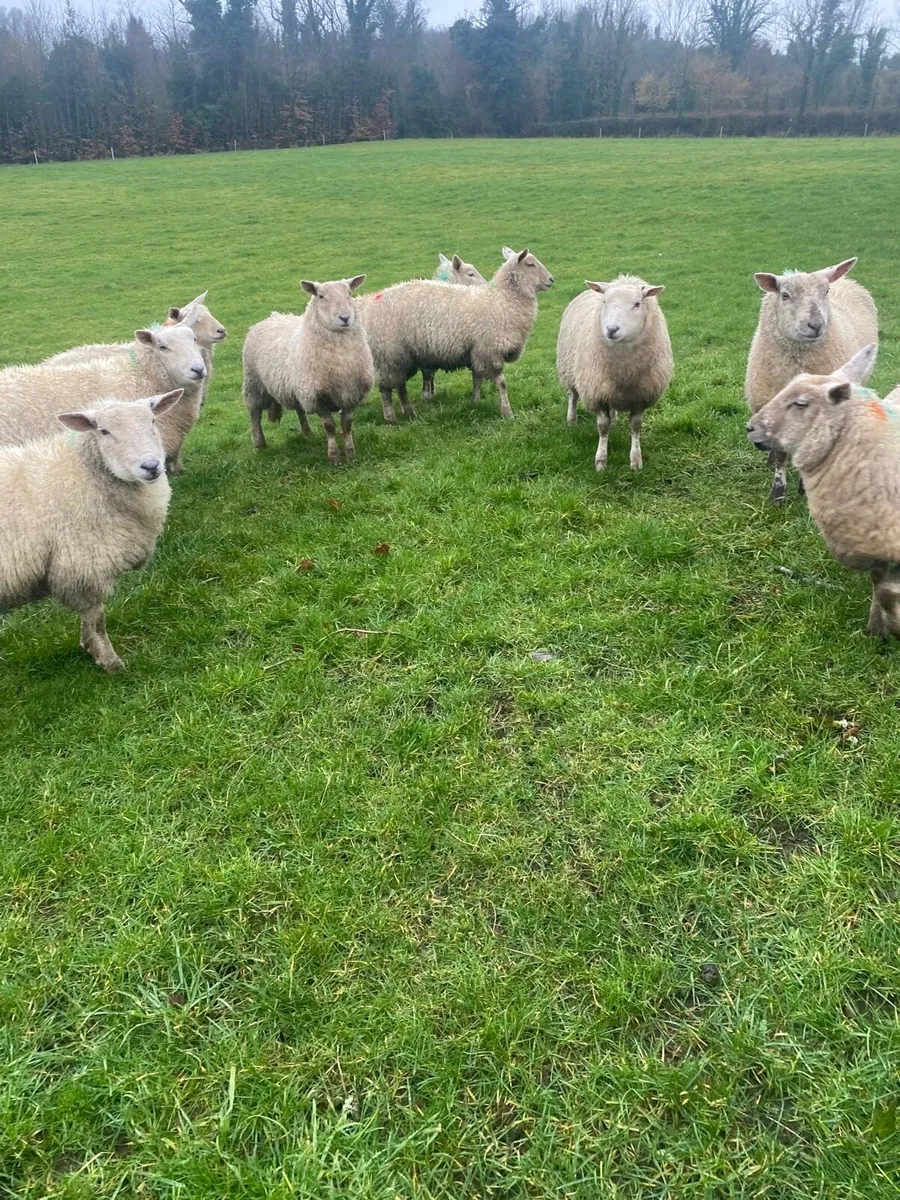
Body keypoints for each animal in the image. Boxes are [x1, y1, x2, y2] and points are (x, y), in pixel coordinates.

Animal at [0, 390, 183, 671]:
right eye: (104, 431)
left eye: (152, 421)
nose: (151, 466)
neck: (86, 474)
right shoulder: (83, 565)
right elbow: (96, 619)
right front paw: (109, 661)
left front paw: (88, 647)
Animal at [242, 275, 372, 465]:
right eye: (320, 296)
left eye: (349, 292)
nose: (345, 317)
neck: (341, 360)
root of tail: (271, 317)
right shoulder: (317, 398)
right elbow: (330, 427)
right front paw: (334, 457)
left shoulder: (351, 395)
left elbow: (347, 425)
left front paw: (350, 454)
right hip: (253, 383)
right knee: (254, 413)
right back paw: (259, 443)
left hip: (297, 388)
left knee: (299, 409)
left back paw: (307, 432)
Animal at [557, 274, 672, 471]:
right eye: (604, 301)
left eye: (637, 304)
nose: (611, 329)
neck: (624, 370)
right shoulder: (596, 393)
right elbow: (603, 427)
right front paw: (601, 461)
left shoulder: (640, 396)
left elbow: (635, 427)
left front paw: (636, 460)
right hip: (571, 370)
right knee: (572, 396)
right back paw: (571, 420)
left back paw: (615, 419)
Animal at [745, 257, 878, 503]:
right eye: (785, 295)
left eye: (826, 291)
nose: (816, 325)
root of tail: (845, 279)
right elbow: (780, 455)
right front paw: (778, 494)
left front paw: (803, 489)